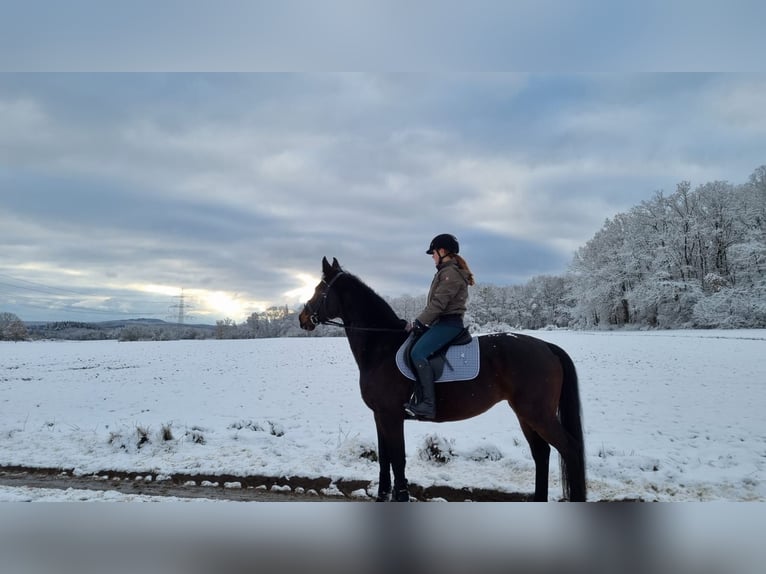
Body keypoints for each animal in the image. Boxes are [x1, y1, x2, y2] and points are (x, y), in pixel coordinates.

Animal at [299, 257, 586, 502]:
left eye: (319, 289)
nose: (302, 318)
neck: (382, 346)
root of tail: (546, 346)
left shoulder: (391, 415)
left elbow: (398, 459)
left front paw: (400, 496)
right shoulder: (380, 415)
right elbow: (385, 459)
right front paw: (383, 496)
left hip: (538, 414)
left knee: (569, 450)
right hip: (526, 414)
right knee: (542, 453)